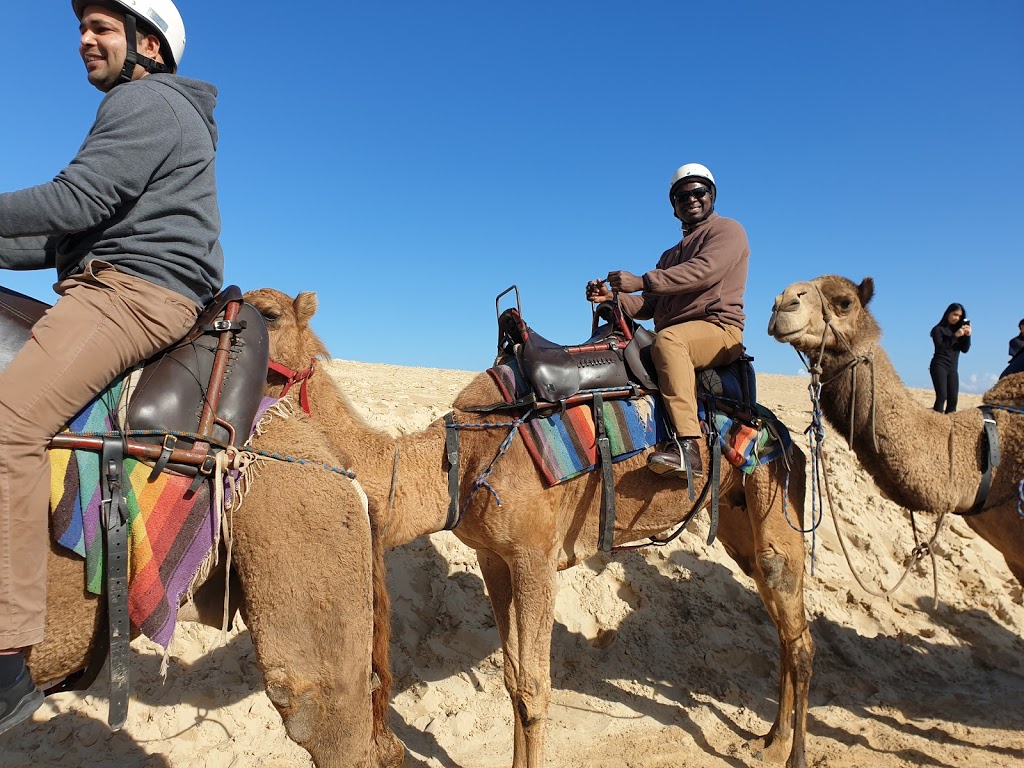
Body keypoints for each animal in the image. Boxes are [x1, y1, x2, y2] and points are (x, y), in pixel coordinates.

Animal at [245, 288, 815, 768]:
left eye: (268, 313)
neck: (459, 457)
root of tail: (784, 430)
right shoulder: (494, 558)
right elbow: (513, 680)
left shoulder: (536, 558)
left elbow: (537, 689)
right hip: (740, 520)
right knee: (783, 626)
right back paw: (769, 739)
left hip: (774, 494)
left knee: (800, 637)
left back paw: (790, 754)